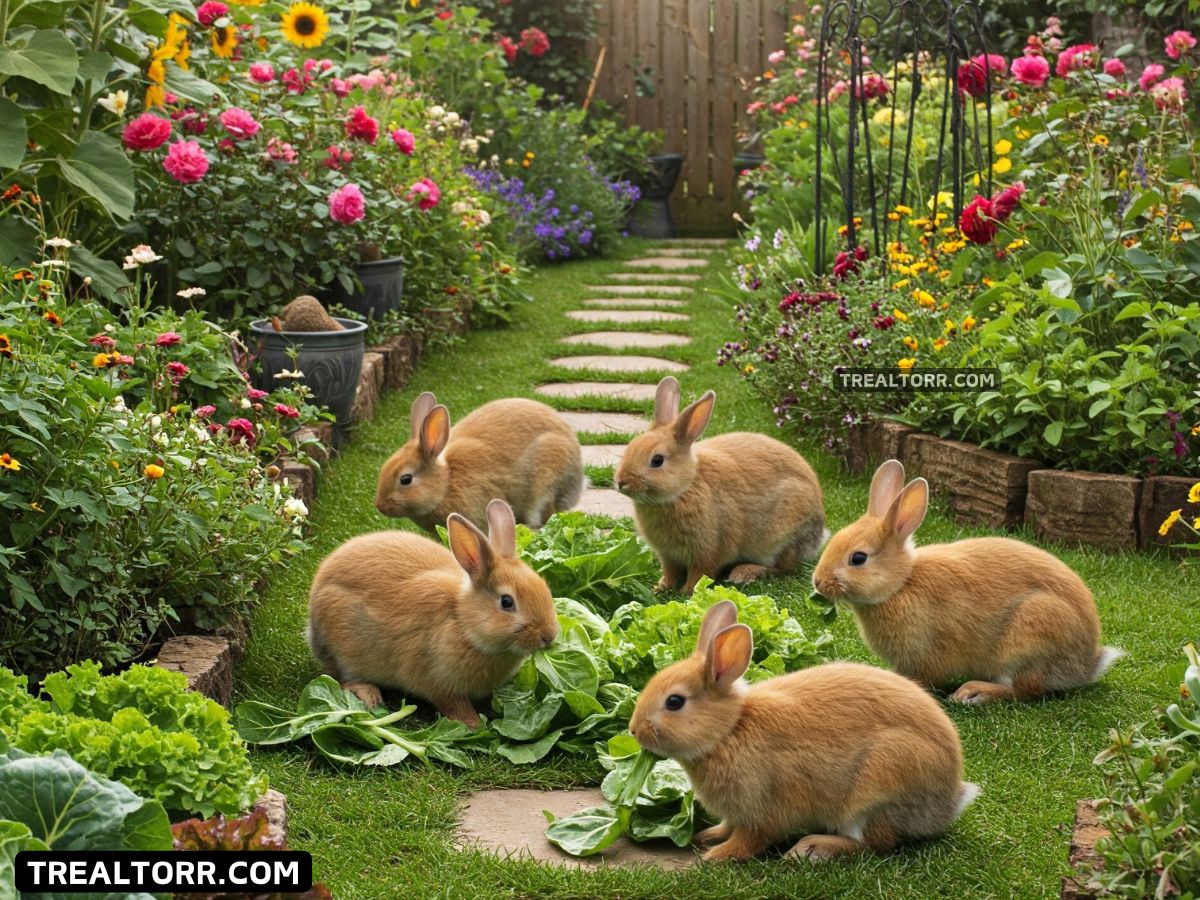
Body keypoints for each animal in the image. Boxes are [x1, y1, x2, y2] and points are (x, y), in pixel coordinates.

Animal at [306, 499, 559, 727]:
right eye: (507, 602)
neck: (463, 622)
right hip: (343, 647)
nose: (549, 636)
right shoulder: (437, 681)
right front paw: (474, 724)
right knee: (339, 675)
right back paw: (369, 695)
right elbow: (454, 705)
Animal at [615, 376, 826, 594]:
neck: (684, 488)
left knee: (784, 567)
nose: (621, 482)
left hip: (782, 537)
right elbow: (670, 572)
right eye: (629, 448)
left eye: (657, 461)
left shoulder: (709, 550)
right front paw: (661, 588)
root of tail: (819, 534)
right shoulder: (668, 555)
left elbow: (700, 574)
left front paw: (686, 593)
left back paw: (745, 572)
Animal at [629, 600, 978, 862]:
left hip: (876, 789)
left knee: (876, 844)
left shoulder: (761, 809)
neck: (729, 730)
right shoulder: (737, 813)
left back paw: (813, 848)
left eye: (674, 702)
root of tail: (948, 802)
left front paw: (715, 856)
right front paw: (708, 836)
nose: (634, 731)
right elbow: (728, 826)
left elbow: (749, 840)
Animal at [812, 459, 1121, 705]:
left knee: (1025, 690)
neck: (901, 584)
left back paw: (974, 693)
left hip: (1031, 633)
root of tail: (1087, 664)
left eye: (858, 558)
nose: (817, 582)